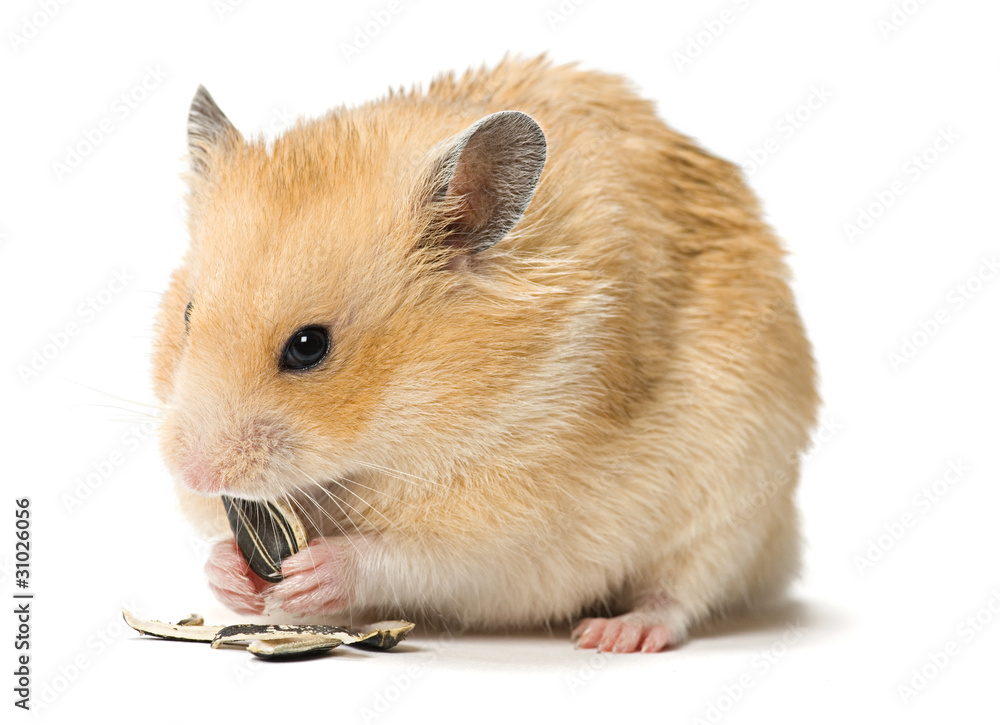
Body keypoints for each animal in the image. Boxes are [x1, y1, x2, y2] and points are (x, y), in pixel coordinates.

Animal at [152, 56, 818, 653]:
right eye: (187, 316)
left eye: (309, 346)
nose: (195, 473)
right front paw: (230, 575)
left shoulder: (509, 524)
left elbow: (405, 555)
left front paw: (310, 576)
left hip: (736, 501)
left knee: (684, 591)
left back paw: (614, 634)